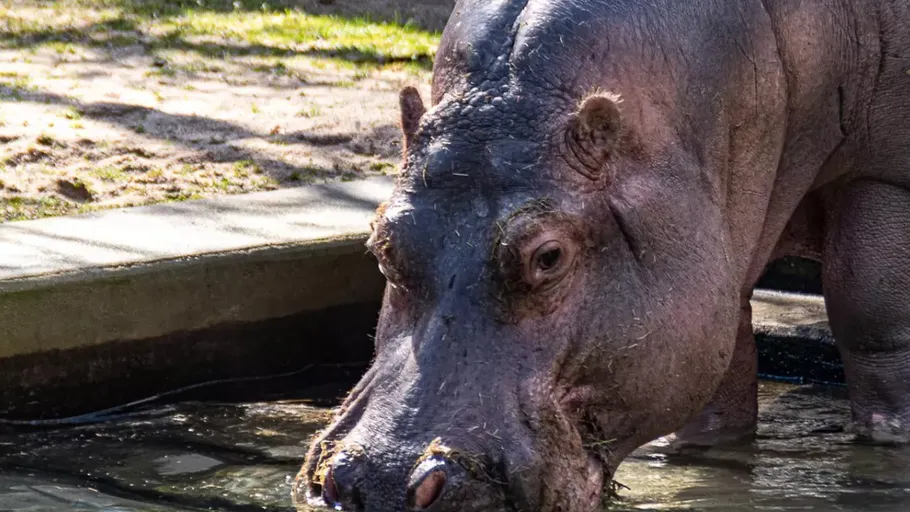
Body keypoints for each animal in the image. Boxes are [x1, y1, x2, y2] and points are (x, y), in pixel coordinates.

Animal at [293, 0, 910, 510]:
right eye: (381, 245)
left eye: (548, 256)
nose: (385, 482)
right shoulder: (715, 244)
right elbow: (724, 375)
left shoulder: (884, 176)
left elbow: (873, 318)